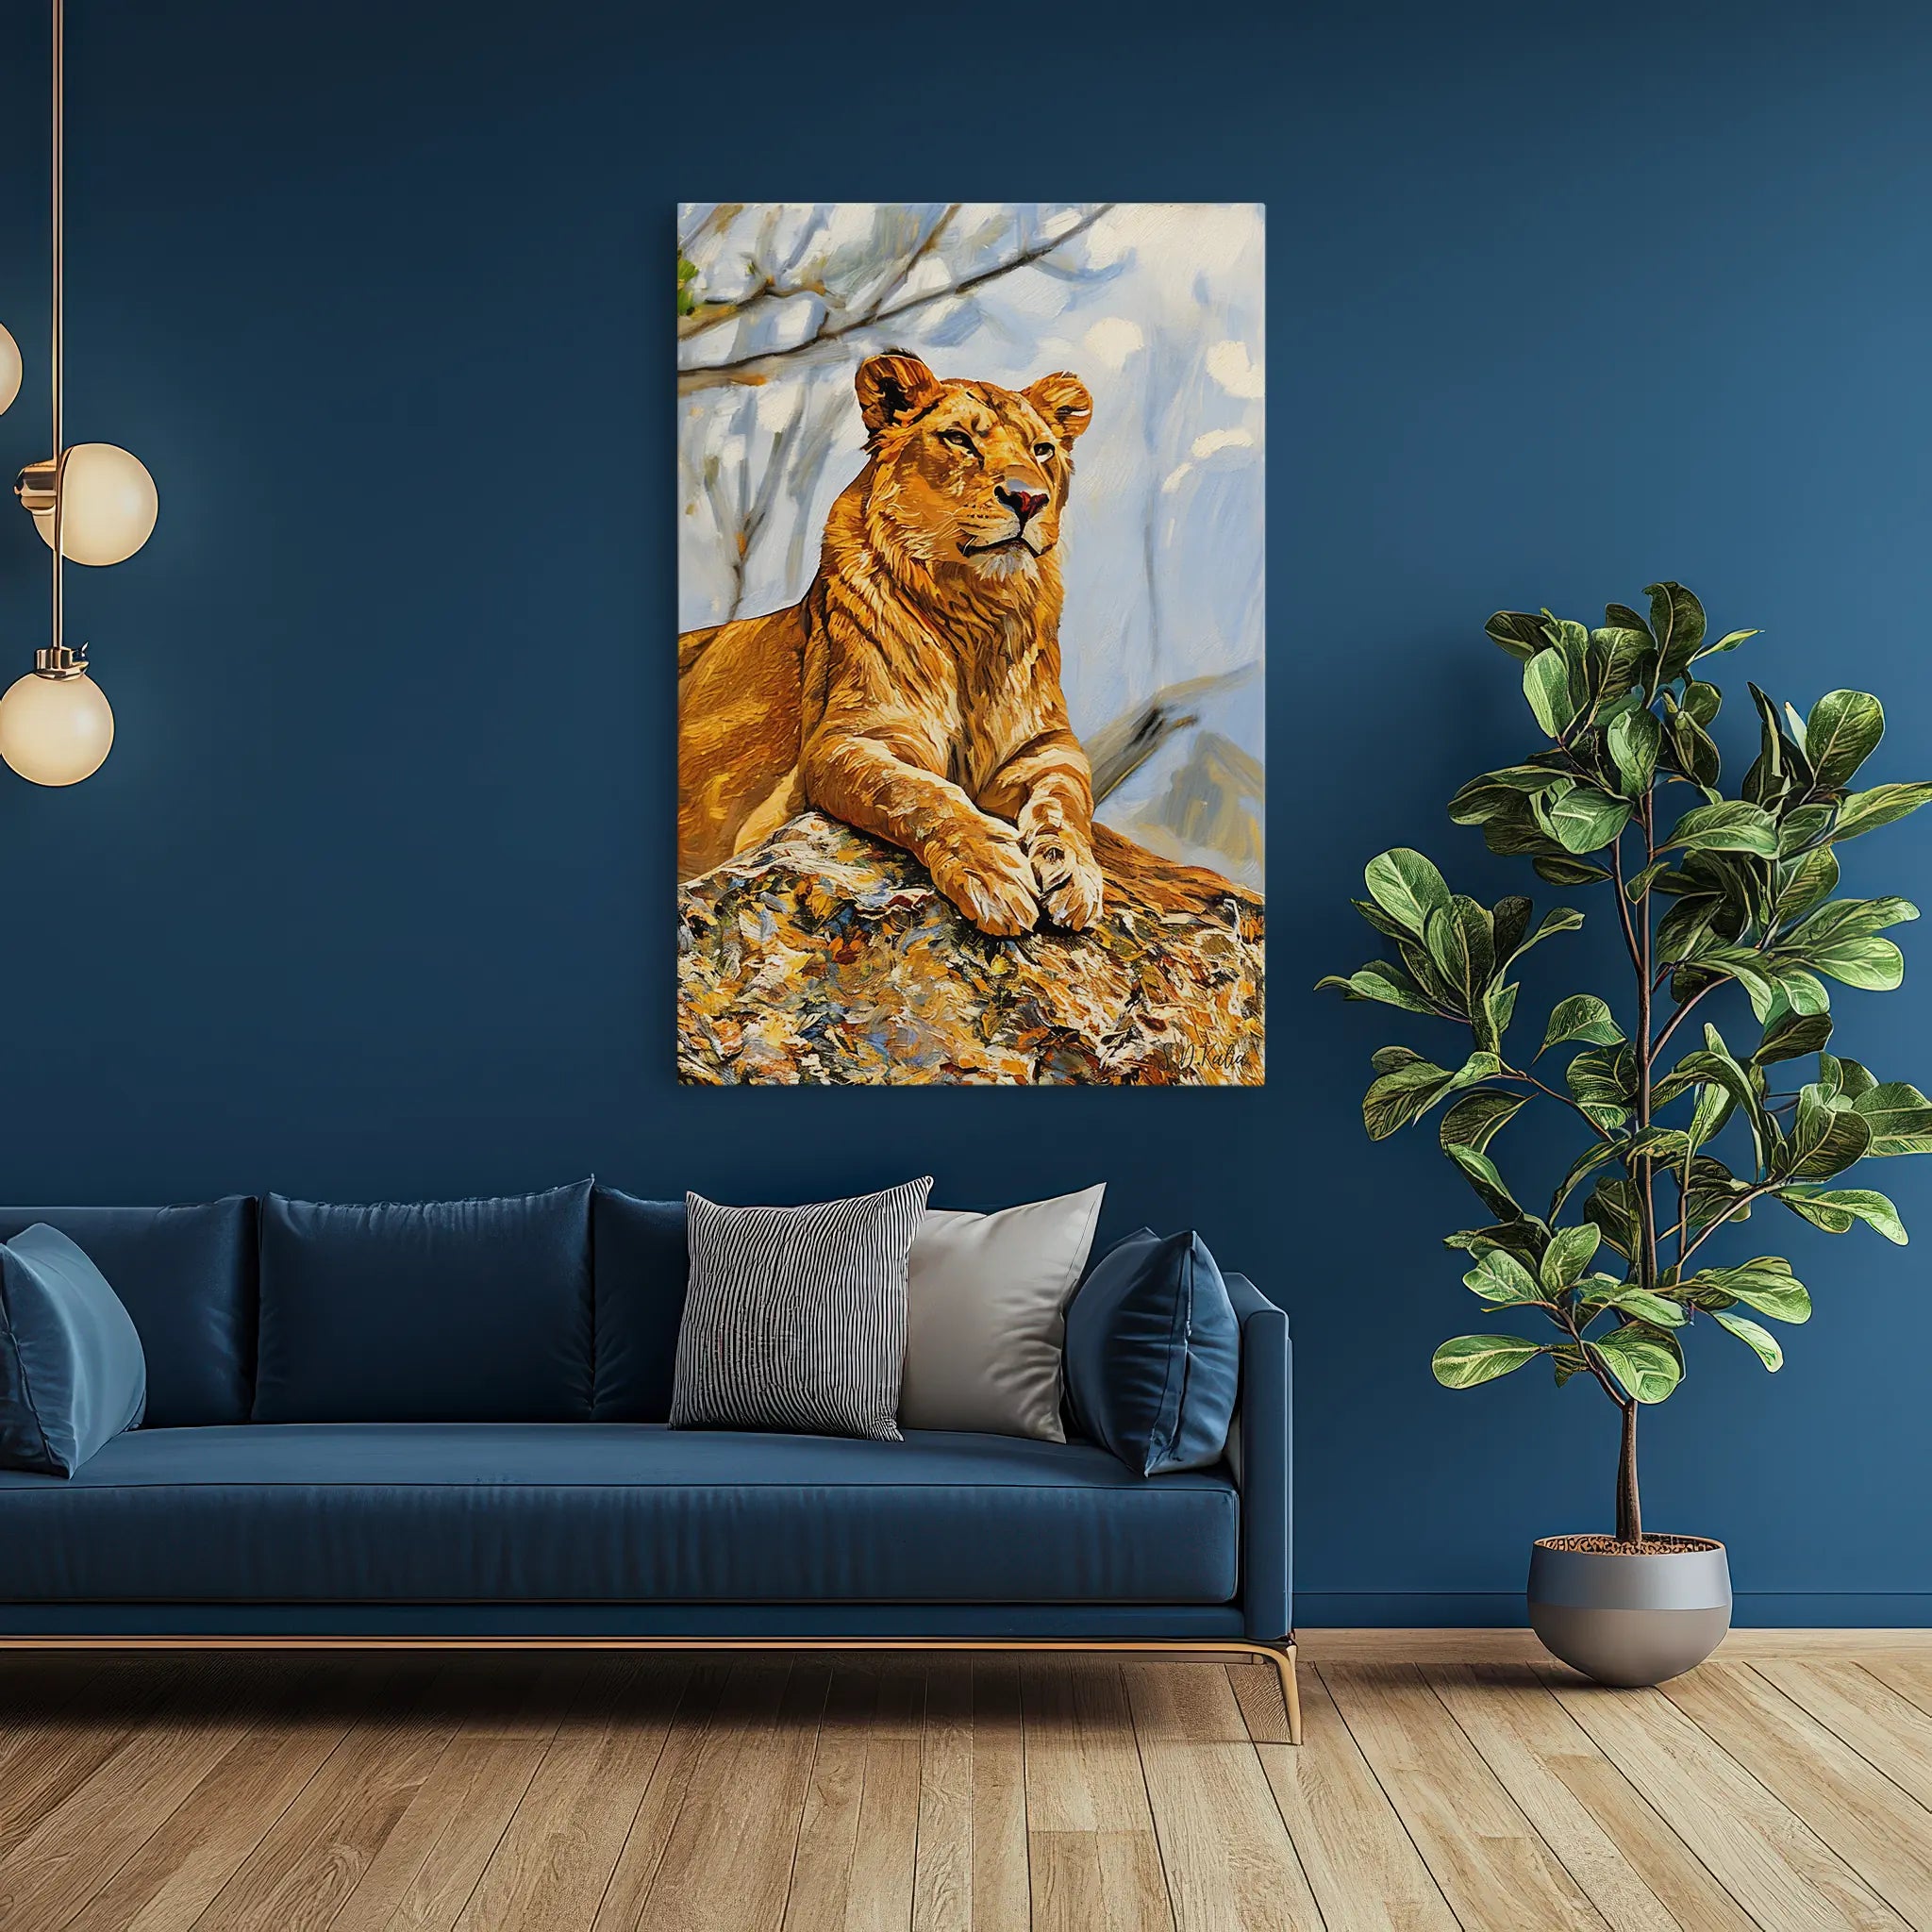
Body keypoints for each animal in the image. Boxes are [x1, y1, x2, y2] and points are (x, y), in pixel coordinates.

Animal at [678, 352, 1249, 938]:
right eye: (959, 439)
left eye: (1041, 449)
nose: (1028, 498)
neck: (976, 613)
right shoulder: (843, 744)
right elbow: (919, 792)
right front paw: (992, 871)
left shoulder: (1046, 746)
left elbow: (1069, 805)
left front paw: (1074, 875)